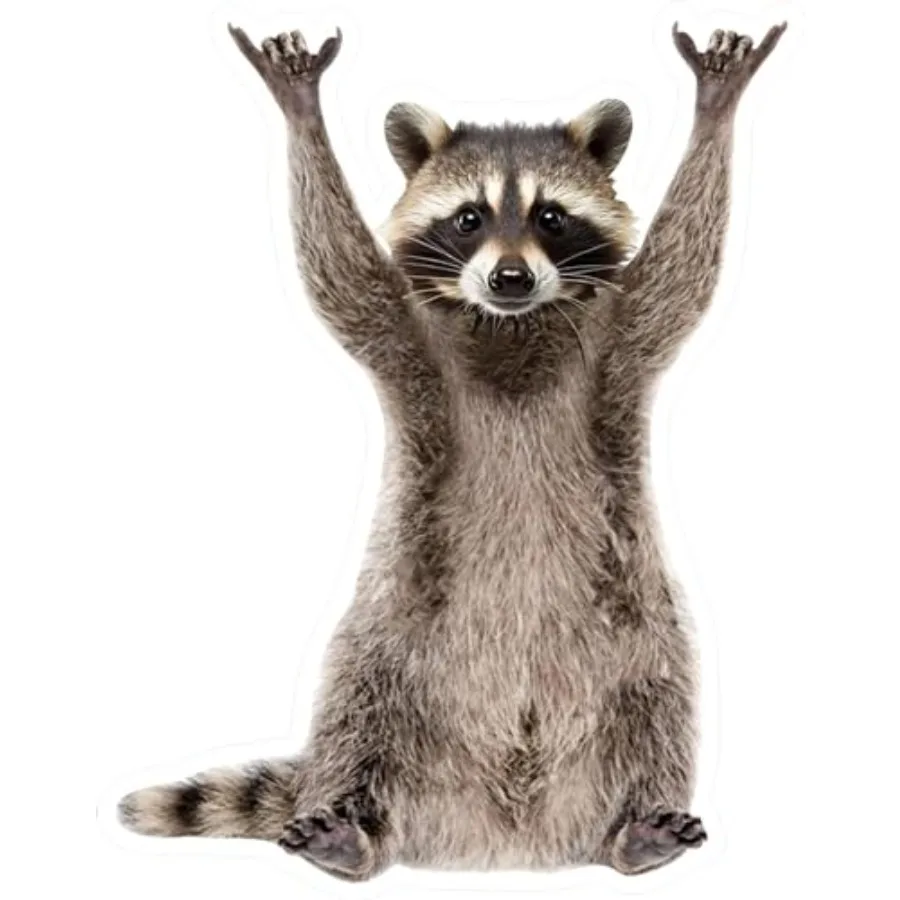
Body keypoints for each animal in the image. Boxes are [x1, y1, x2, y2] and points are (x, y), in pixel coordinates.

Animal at [117, 22, 787, 880]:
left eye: (551, 217)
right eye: (469, 218)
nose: (510, 276)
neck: (510, 327)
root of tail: (506, 838)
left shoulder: (620, 340)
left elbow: (682, 275)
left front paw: (715, 111)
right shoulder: (410, 340)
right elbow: (342, 276)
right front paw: (302, 115)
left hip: (640, 627)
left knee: (660, 702)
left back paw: (635, 827)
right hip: (388, 634)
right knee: (355, 709)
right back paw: (354, 831)